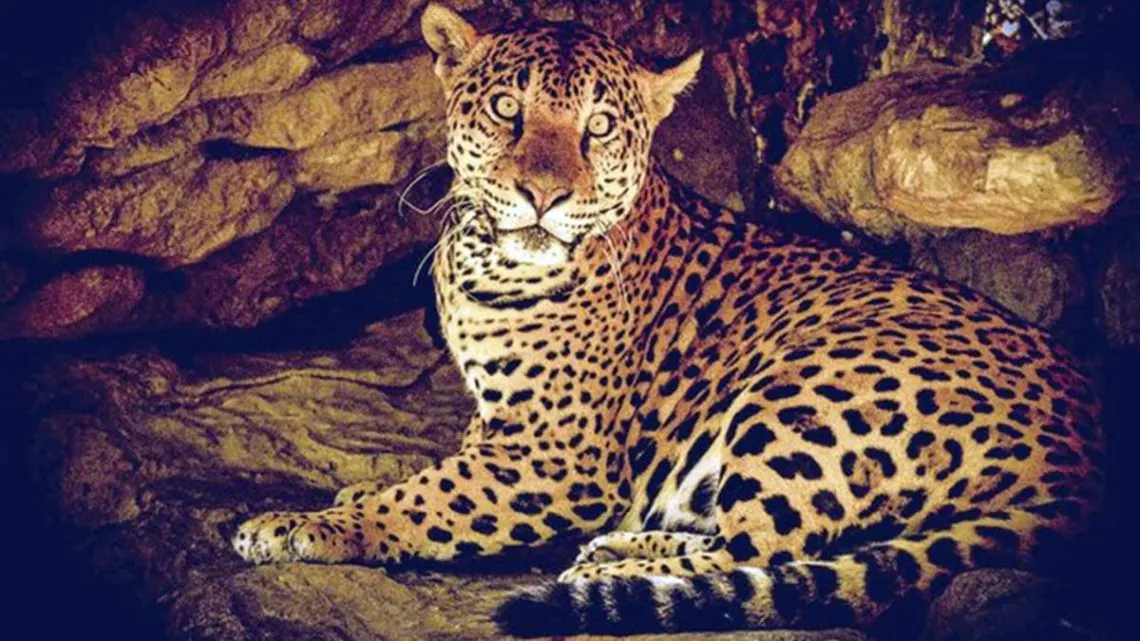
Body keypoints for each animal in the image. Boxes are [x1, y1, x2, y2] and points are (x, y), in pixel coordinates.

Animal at [233, 3, 1105, 636]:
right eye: (508, 110)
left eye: (600, 127)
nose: (542, 195)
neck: (487, 258)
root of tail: (1089, 456)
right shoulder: (502, 423)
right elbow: (436, 471)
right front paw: (350, 493)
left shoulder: (556, 458)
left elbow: (427, 500)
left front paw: (300, 525)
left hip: (812, 381)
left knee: (770, 549)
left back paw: (612, 566)